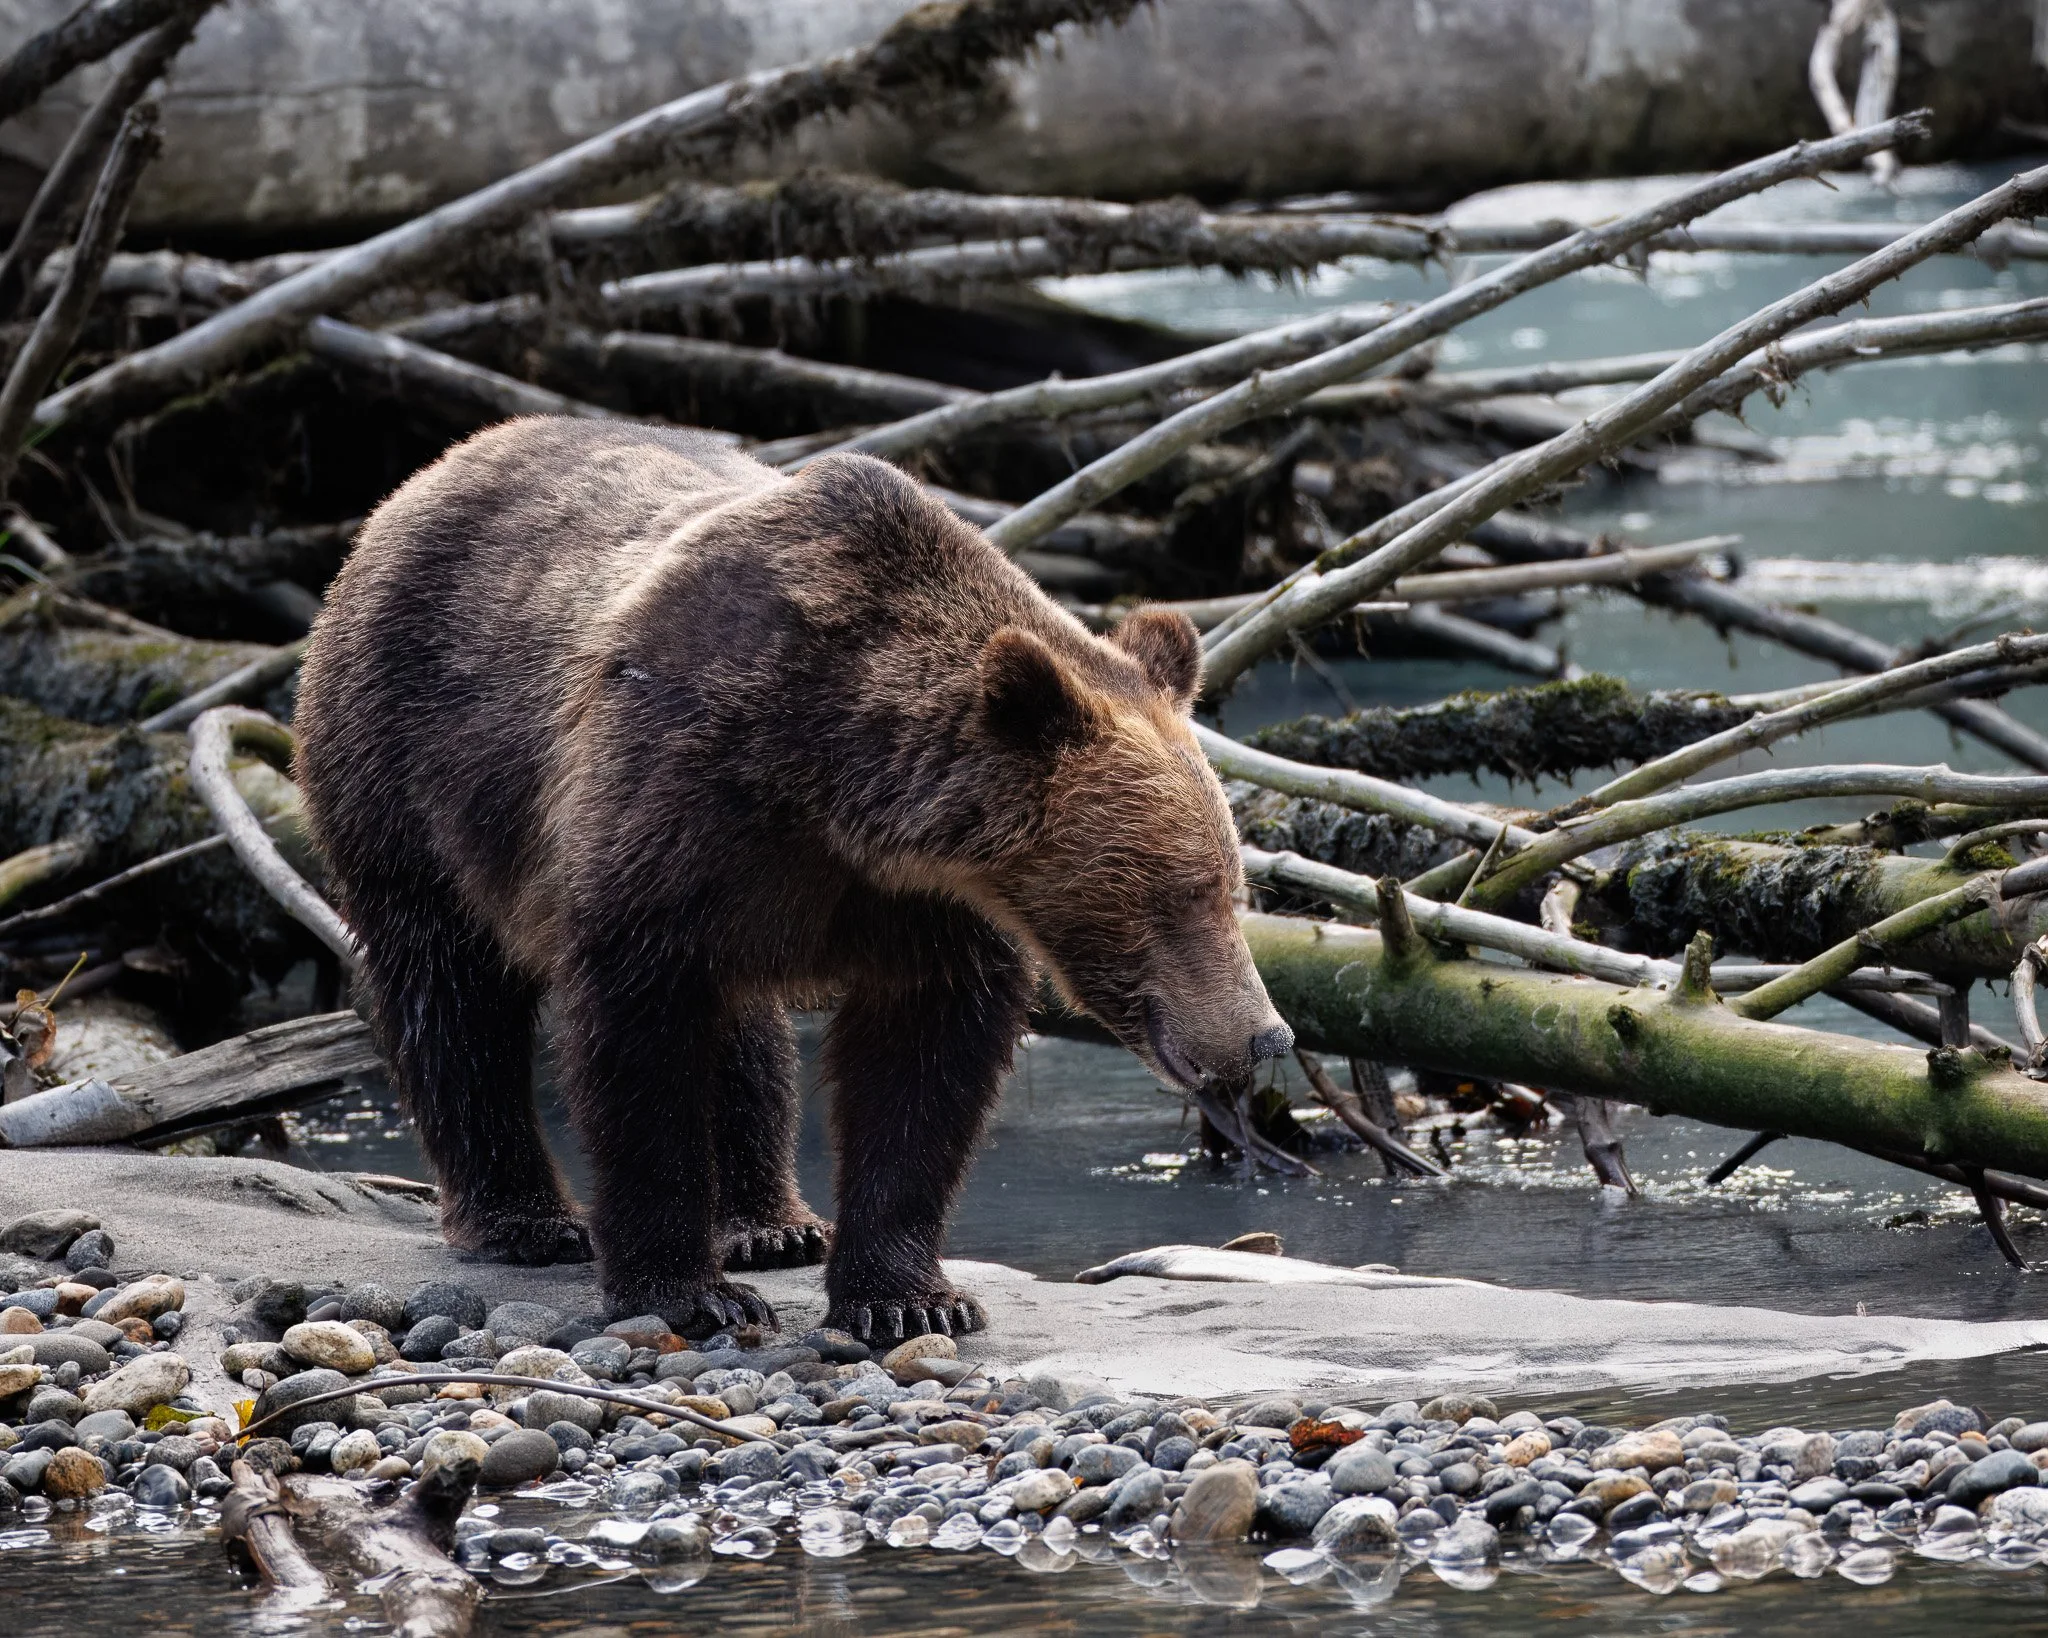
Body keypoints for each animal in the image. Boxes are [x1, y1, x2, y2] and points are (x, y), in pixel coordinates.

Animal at [294, 417, 1292, 1341]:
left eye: (1235, 885)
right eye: (1178, 892)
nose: (1266, 1036)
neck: (835, 788)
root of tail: (436, 469)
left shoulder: (920, 911)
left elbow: (922, 1071)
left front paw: (908, 1297)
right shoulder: (668, 807)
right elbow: (639, 1045)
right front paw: (685, 1290)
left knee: (745, 1034)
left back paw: (771, 1224)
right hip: (407, 764)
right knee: (450, 993)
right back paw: (525, 1220)